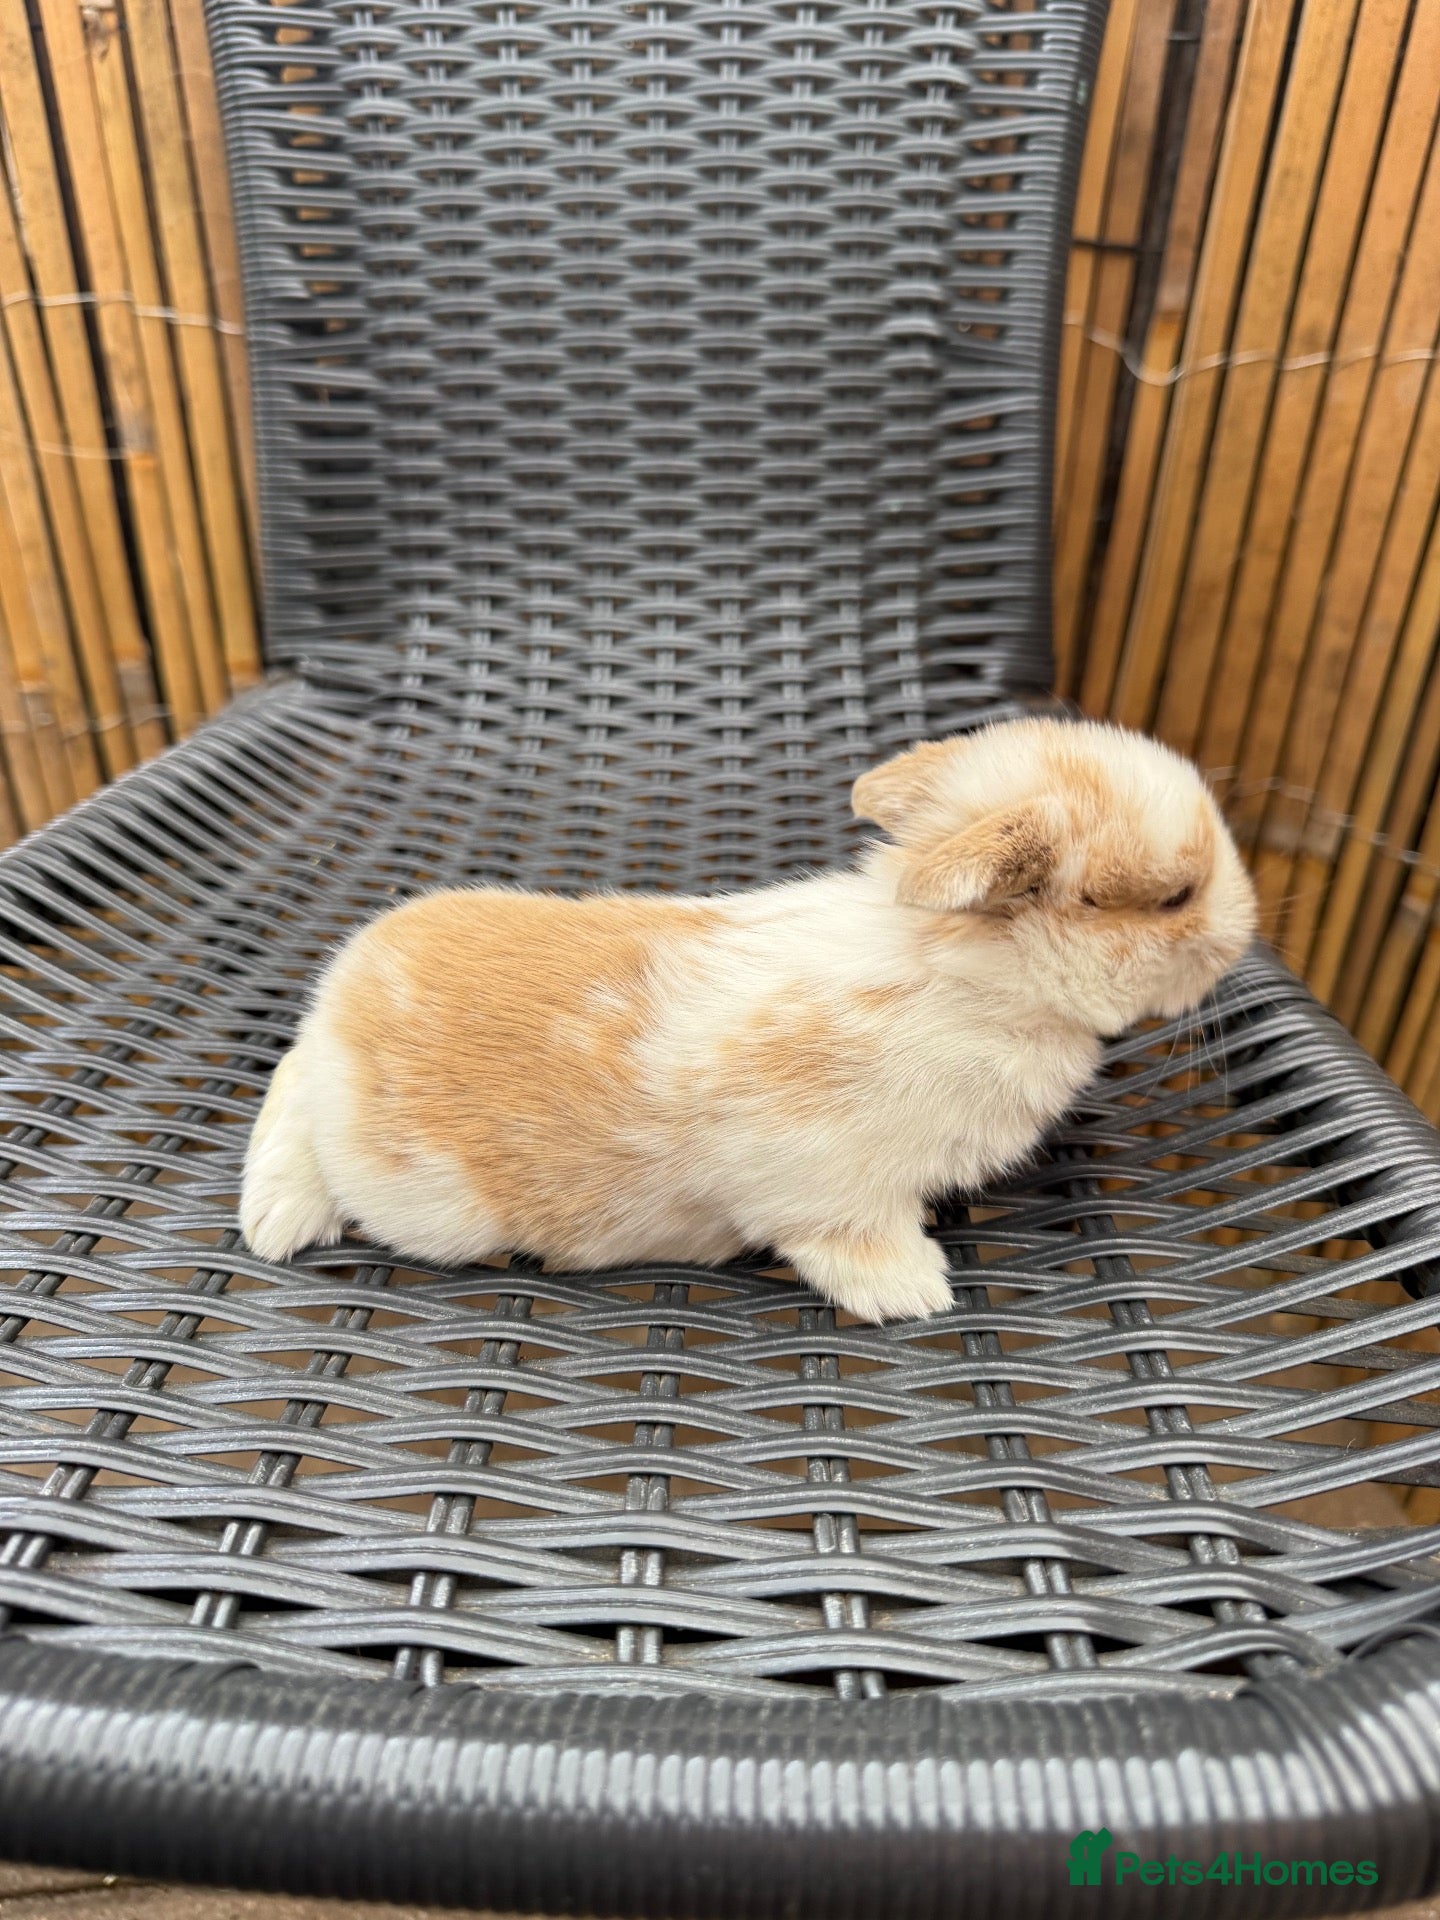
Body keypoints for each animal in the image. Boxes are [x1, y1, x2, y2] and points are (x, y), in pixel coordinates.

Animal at [240, 718, 1257, 1323]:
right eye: (1174, 897)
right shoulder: (824, 1185)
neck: (958, 975)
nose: (1247, 928)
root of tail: (341, 995)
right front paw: (916, 1293)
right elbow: (844, 1239)